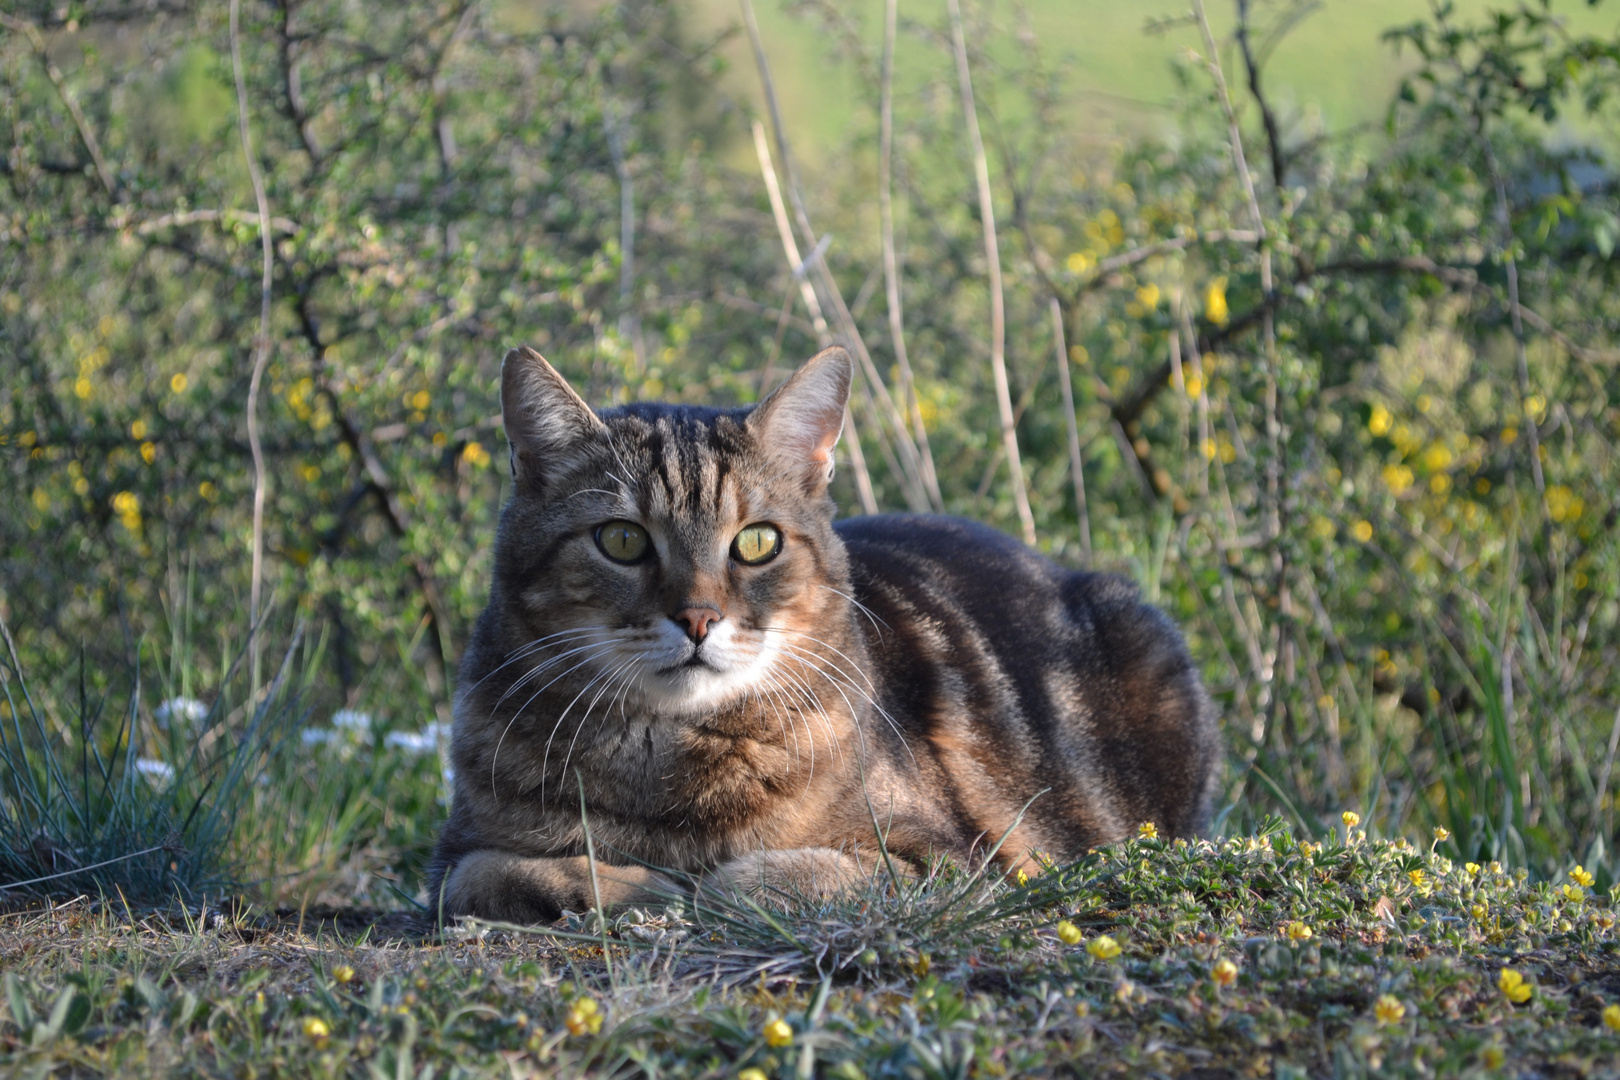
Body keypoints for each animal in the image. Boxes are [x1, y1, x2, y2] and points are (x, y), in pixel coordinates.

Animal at [430, 344, 1218, 919]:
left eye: (756, 543)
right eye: (622, 541)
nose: (697, 617)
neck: (671, 766)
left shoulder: (951, 860)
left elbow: (762, 876)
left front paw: (695, 884)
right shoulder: (454, 854)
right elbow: (494, 873)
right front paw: (629, 882)